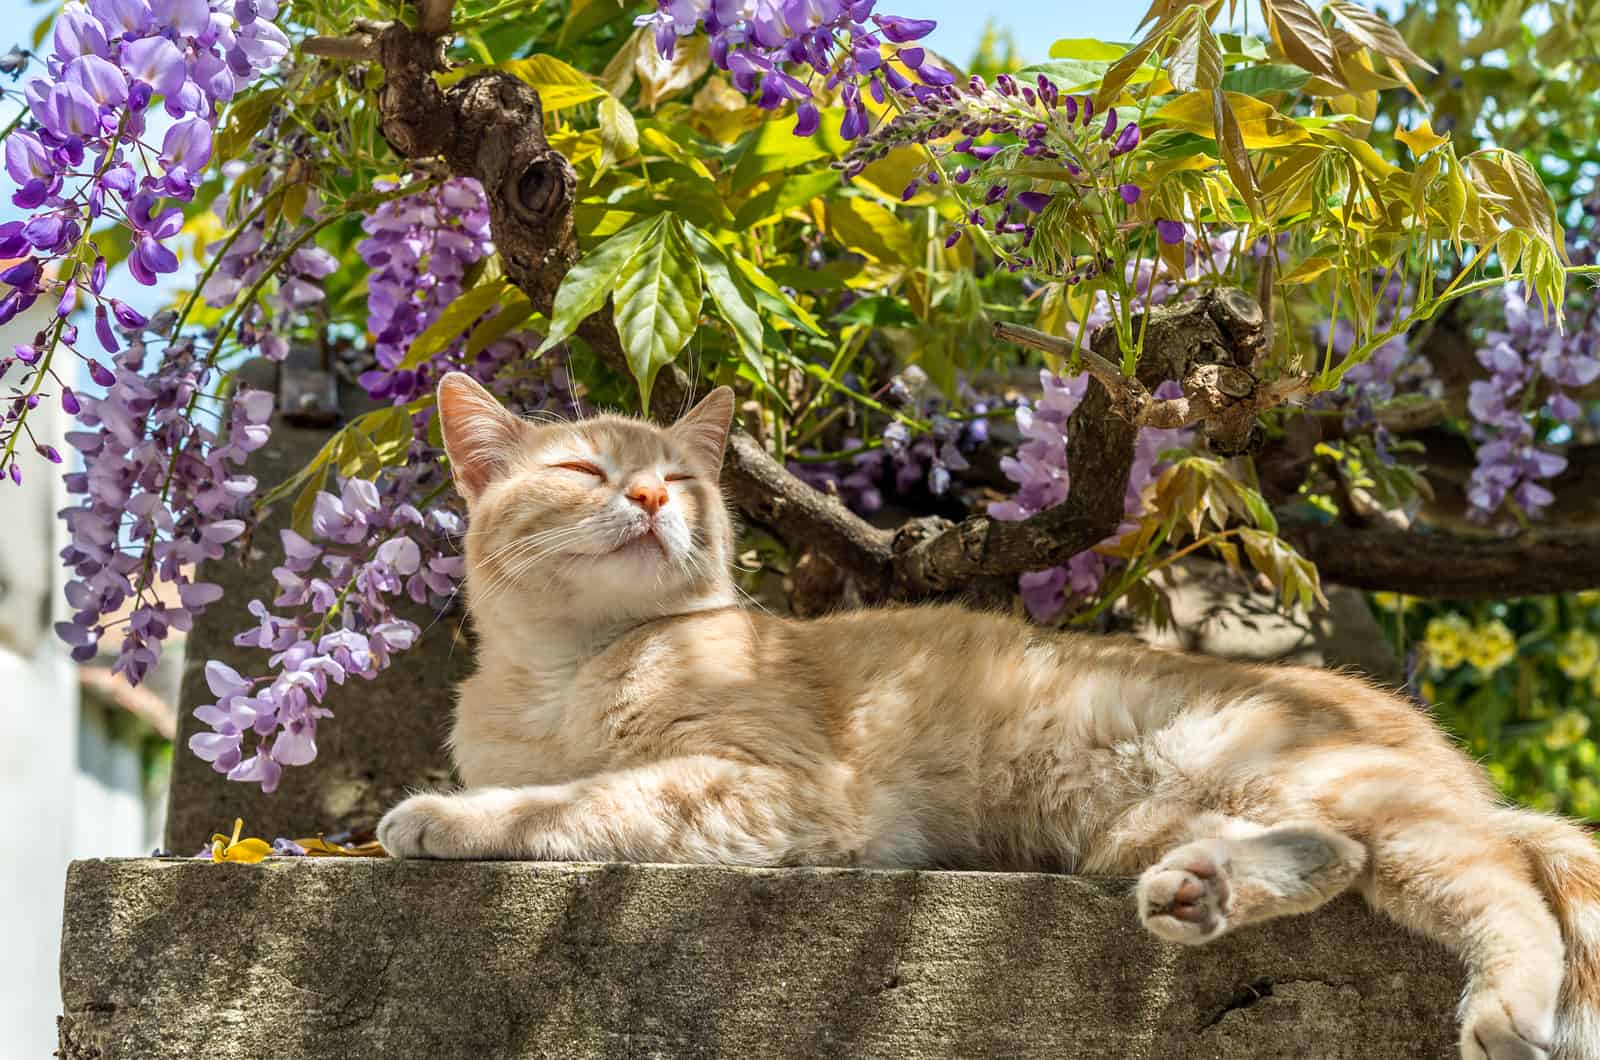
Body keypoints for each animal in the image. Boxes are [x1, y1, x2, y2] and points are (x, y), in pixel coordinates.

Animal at [377, 373, 1600, 1060]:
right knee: (1341, 858)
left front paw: (444, 816)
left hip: (1324, 781)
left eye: (677, 479)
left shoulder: (772, 788)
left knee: (1498, 881)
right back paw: (1201, 892)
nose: (643, 497)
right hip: (1178, 815)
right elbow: (558, 783)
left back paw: (1506, 1010)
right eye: (587, 471)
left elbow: (575, 798)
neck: (571, 668)